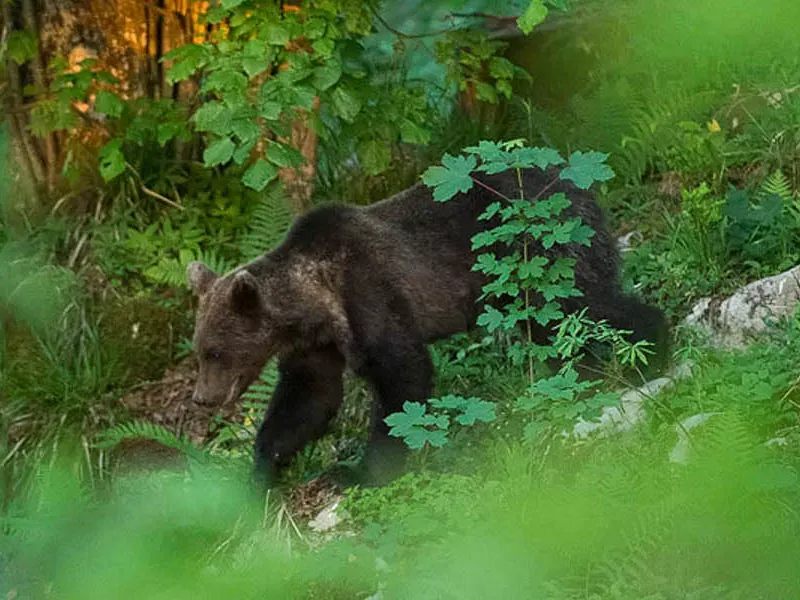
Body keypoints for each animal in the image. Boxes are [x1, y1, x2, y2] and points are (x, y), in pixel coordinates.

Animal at [187, 167, 668, 489]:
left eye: (214, 350)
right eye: (199, 349)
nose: (202, 397)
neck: (315, 301)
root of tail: (578, 184)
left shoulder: (370, 292)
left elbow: (402, 376)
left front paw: (360, 472)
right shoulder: (315, 347)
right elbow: (306, 400)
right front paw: (260, 472)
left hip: (536, 251)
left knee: (580, 307)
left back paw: (648, 352)